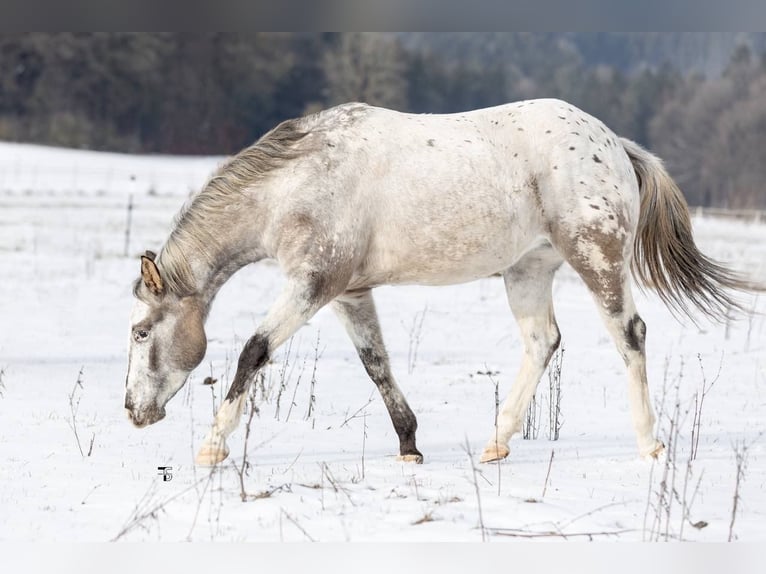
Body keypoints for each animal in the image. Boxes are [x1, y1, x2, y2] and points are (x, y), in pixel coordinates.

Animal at [123, 99, 760, 468]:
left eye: (139, 333)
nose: (132, 411)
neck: (297, 182)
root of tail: (615, 145)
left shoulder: (313, 285)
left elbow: (253, 352)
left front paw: (213, 445)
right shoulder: (348, 292)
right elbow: (375, 364)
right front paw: (409, 445)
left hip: (595, 258)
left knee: (630, 335)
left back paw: (649, 443)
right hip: (528, 271)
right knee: (542, 343)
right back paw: (497, 442)